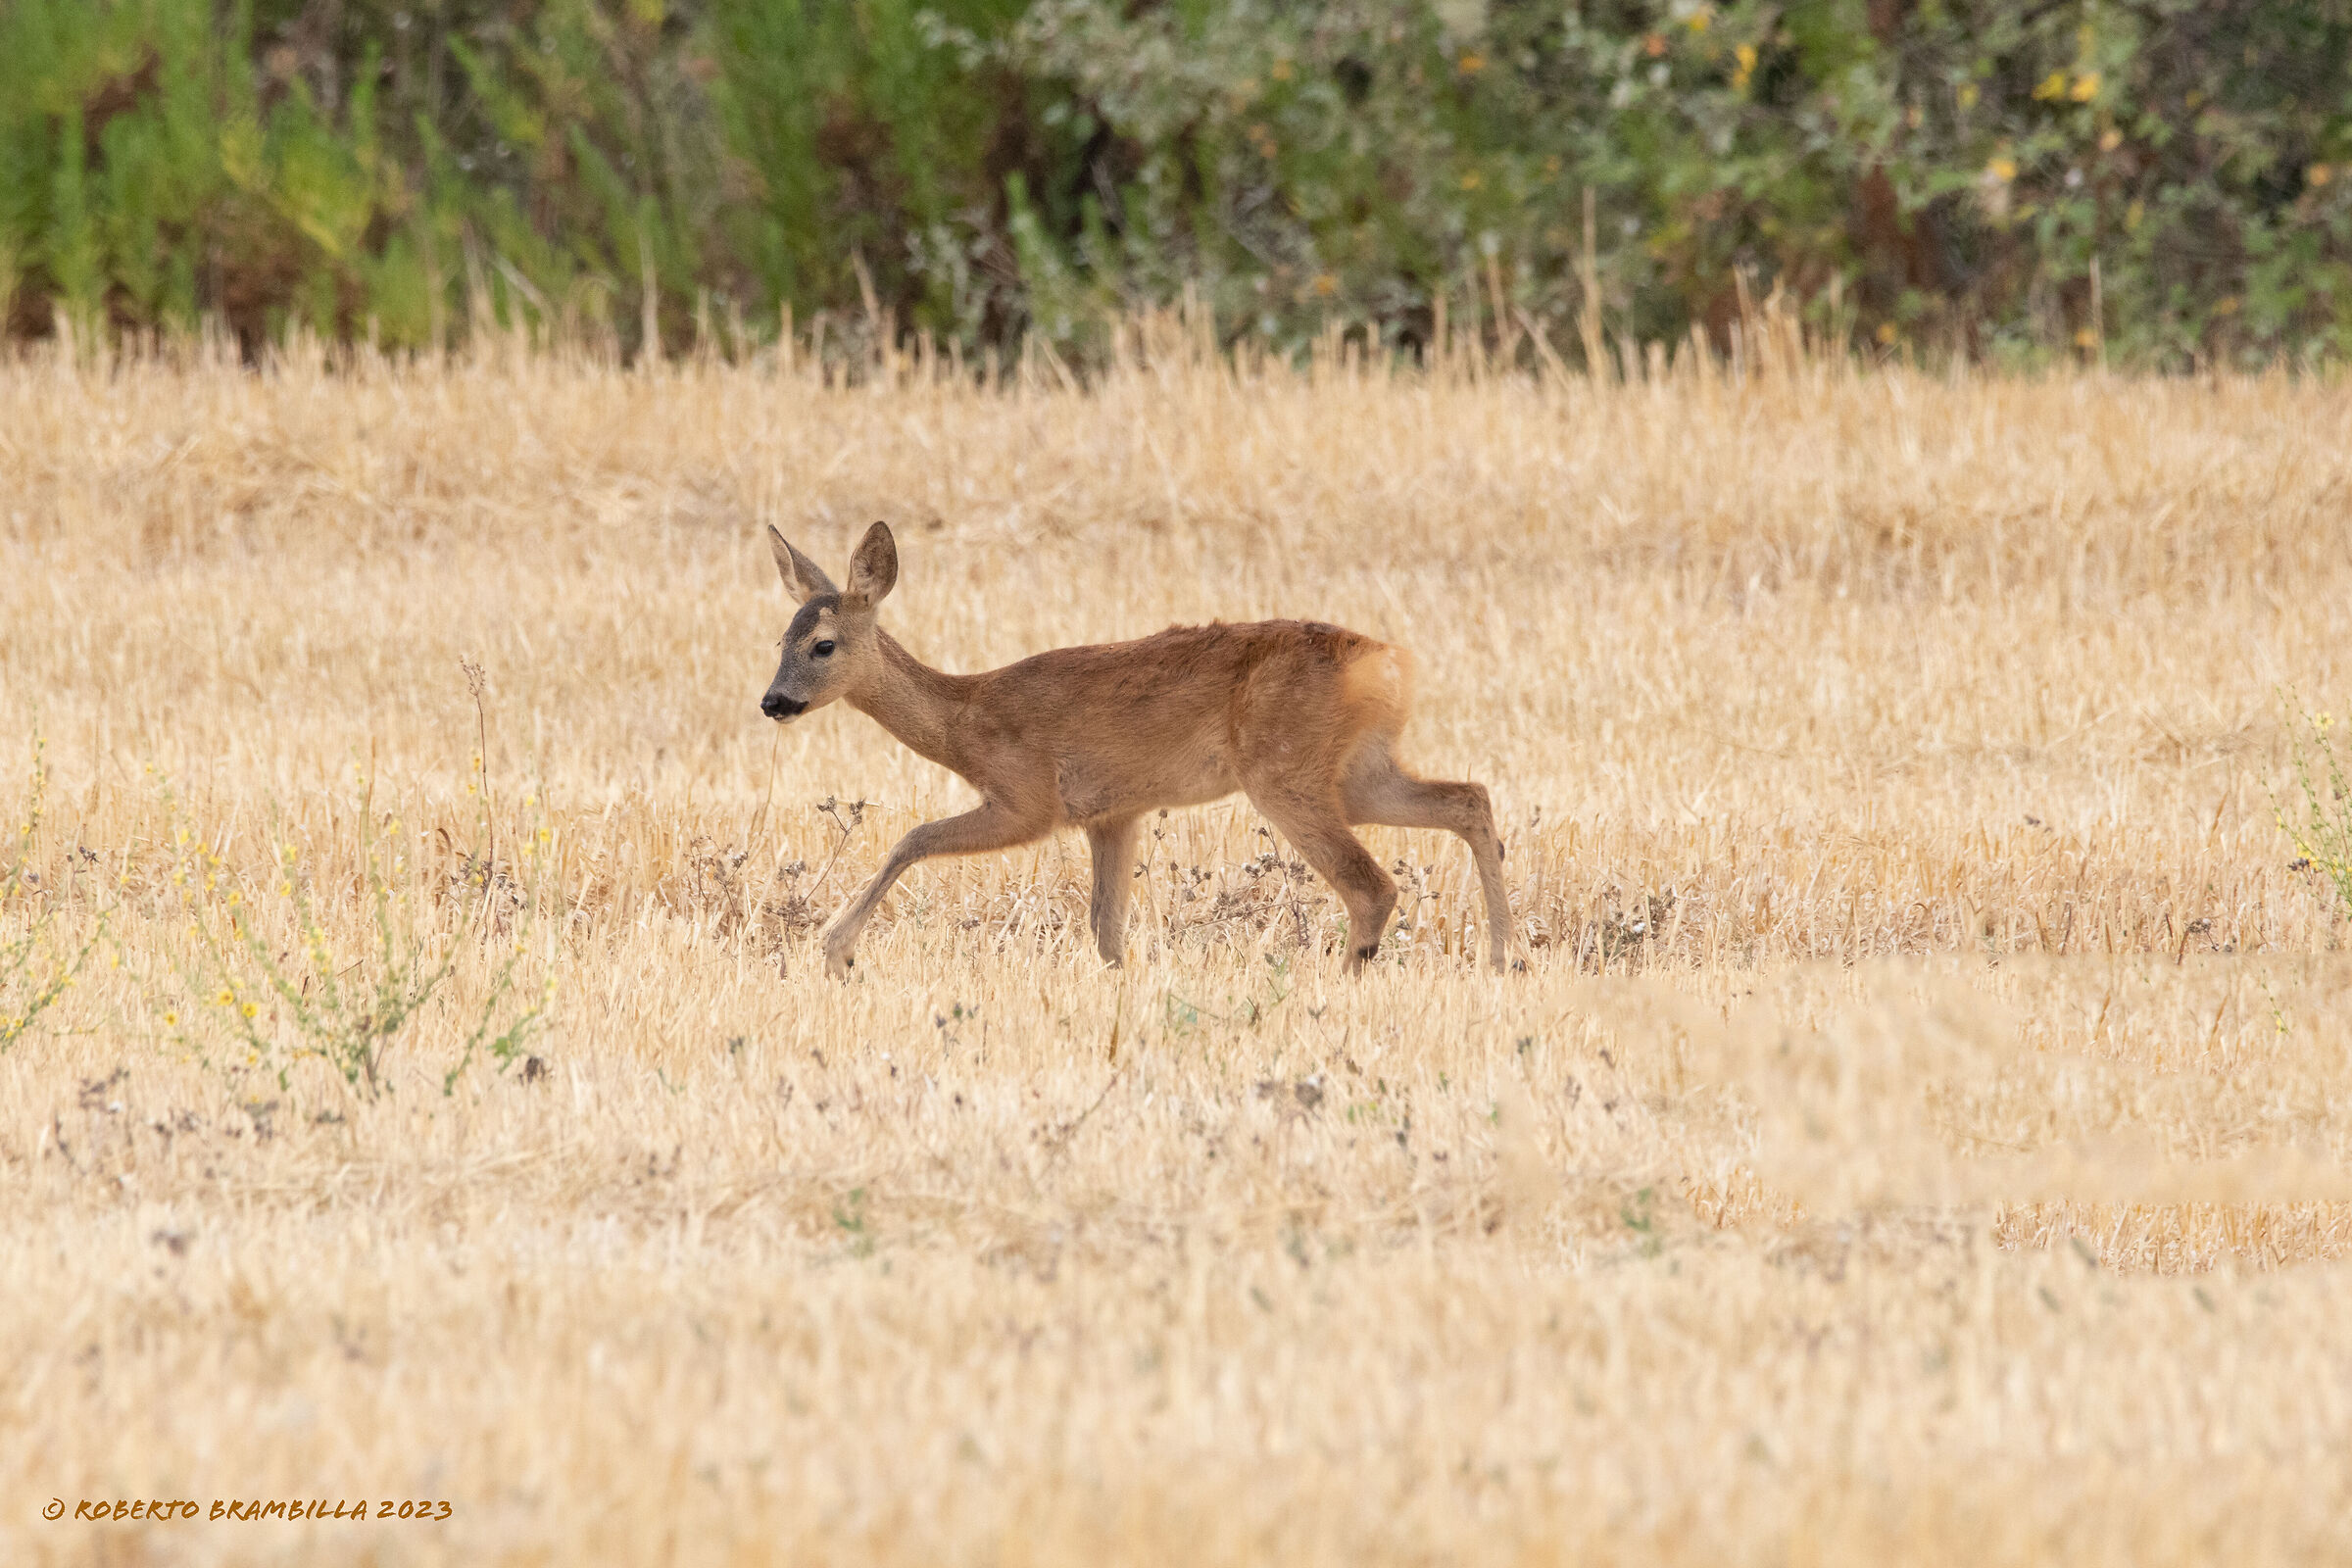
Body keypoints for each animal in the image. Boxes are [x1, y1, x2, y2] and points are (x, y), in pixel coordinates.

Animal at [757, 521, 1511, 979]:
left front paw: (836, 951)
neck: (966, 718)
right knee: (1469, 798)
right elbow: (1105, 929)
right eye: (779, 640)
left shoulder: (1029, 799)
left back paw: (1344, 982)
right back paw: (1504, 959)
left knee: (1373, 883)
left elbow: (910, 837)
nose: (773, 702)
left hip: (1285, 771)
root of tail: (1388, 664)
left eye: (823, 645)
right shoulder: (1112, 814)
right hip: (1358, 771)